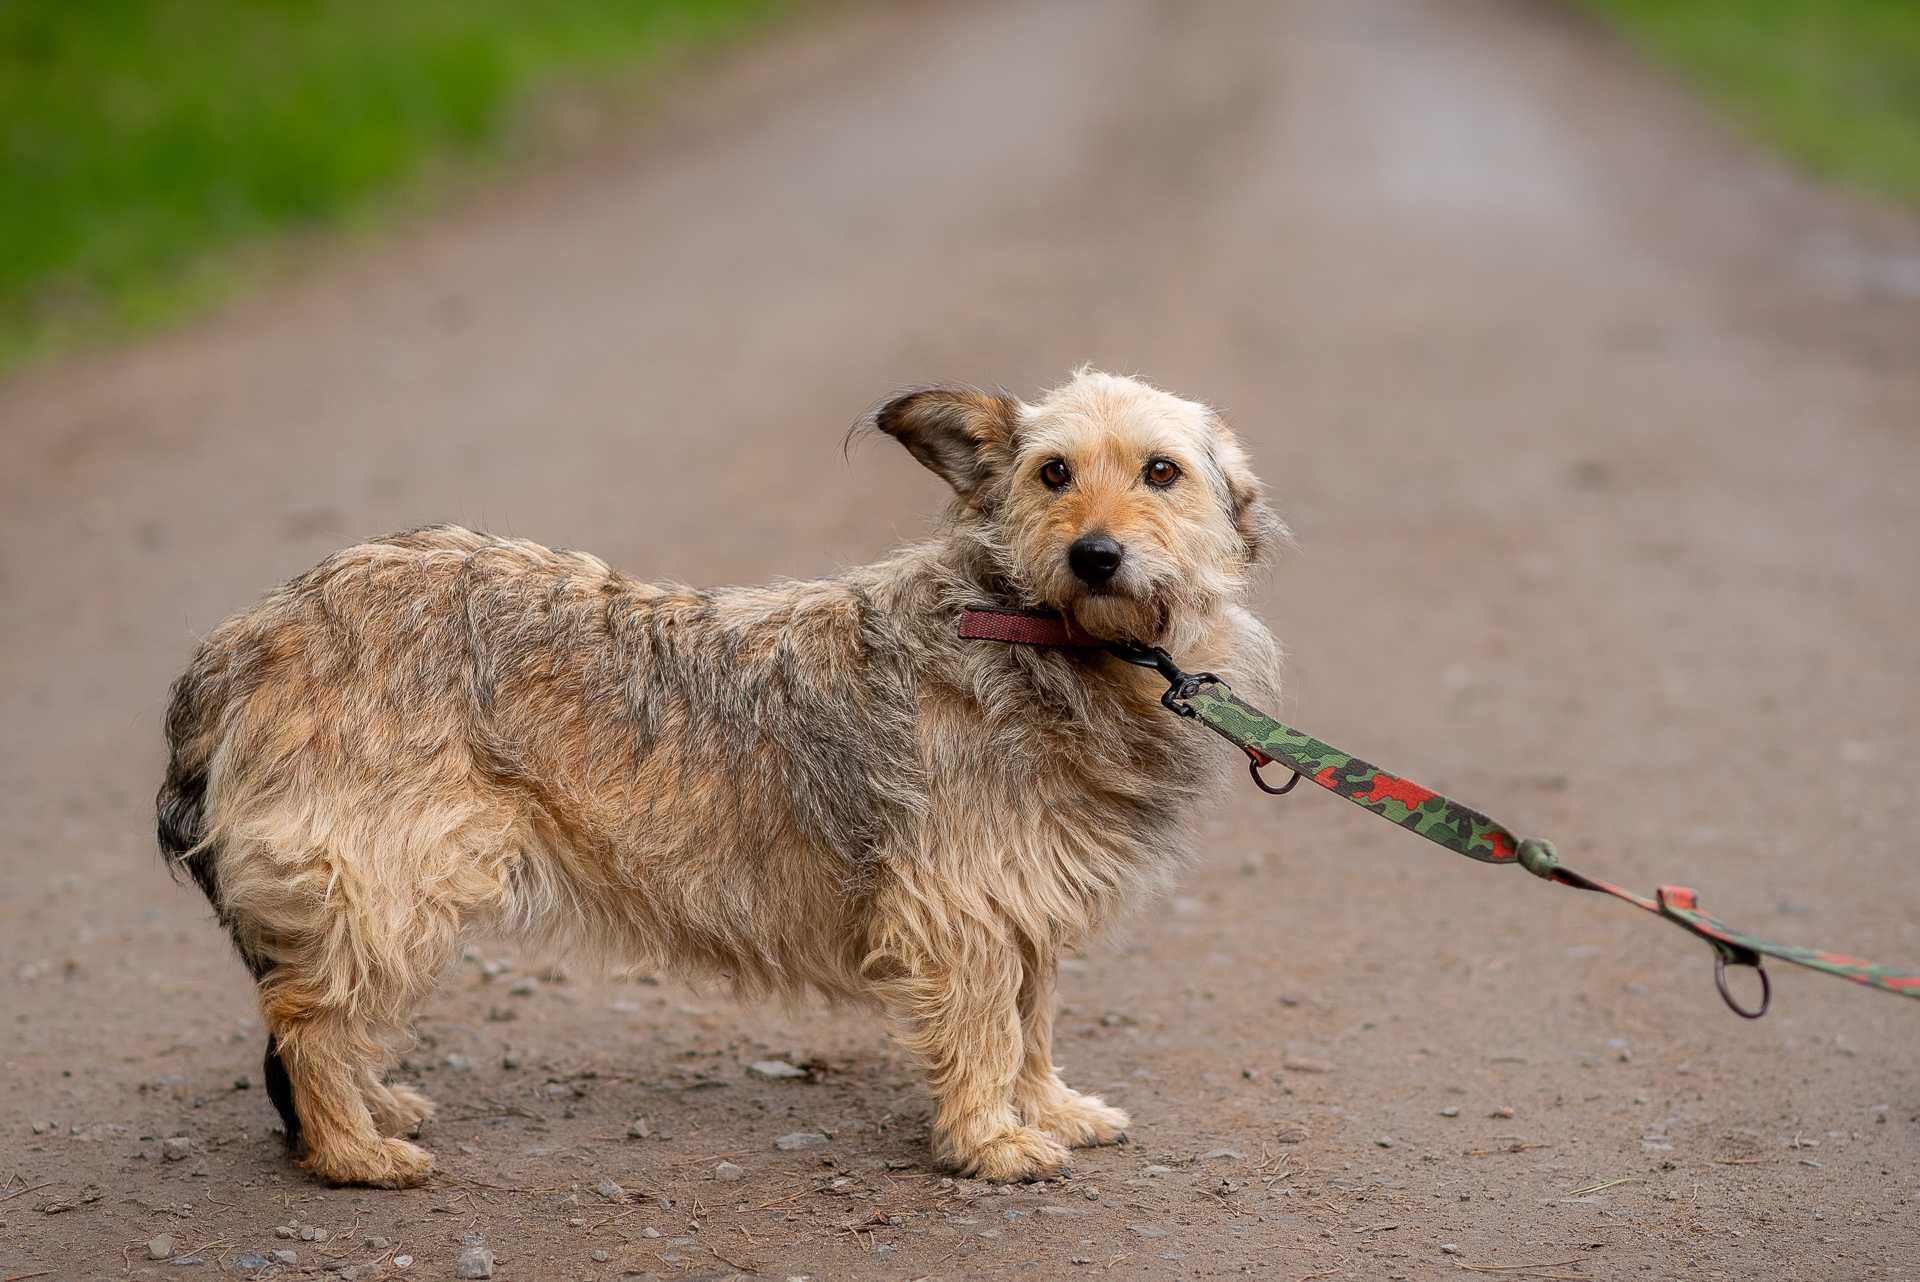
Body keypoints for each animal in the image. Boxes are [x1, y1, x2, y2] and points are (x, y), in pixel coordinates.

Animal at [157, 364, 1282, 1189]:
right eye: (1052, 473)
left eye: (1162, 472)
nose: (1095, 555)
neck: (1041, 637)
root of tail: (237, 643)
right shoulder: (959, 903)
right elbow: (983, 1026)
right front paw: (990, 1142)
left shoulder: (1025, 896)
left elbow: (1031, 1020)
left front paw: (1048, 1108)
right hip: (383, 877)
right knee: (307, 1019)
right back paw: (353, 1152)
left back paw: (371, 1106)